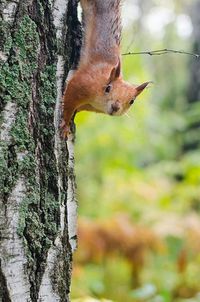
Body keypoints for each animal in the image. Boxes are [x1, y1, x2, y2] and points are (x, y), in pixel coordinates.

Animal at [61, 0, 149, 138]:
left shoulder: (89, 106)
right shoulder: (83, 83)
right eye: (108, 88)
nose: (115, 107)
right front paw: (65, 124)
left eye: (132, 101)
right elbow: (69, 102)